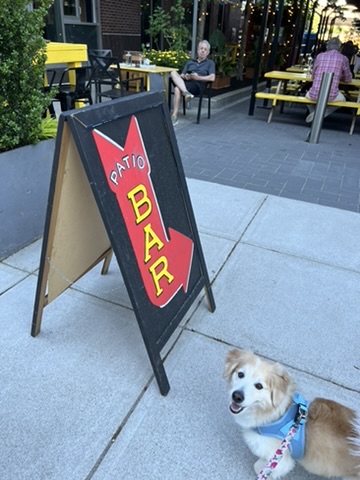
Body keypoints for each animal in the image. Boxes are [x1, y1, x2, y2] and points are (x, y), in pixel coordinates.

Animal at [225, 348, 360, 480]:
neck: (278, 414)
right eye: (240, 374)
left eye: (259, 386)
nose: (237, 396)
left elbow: (261, 467)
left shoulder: (280, 457)